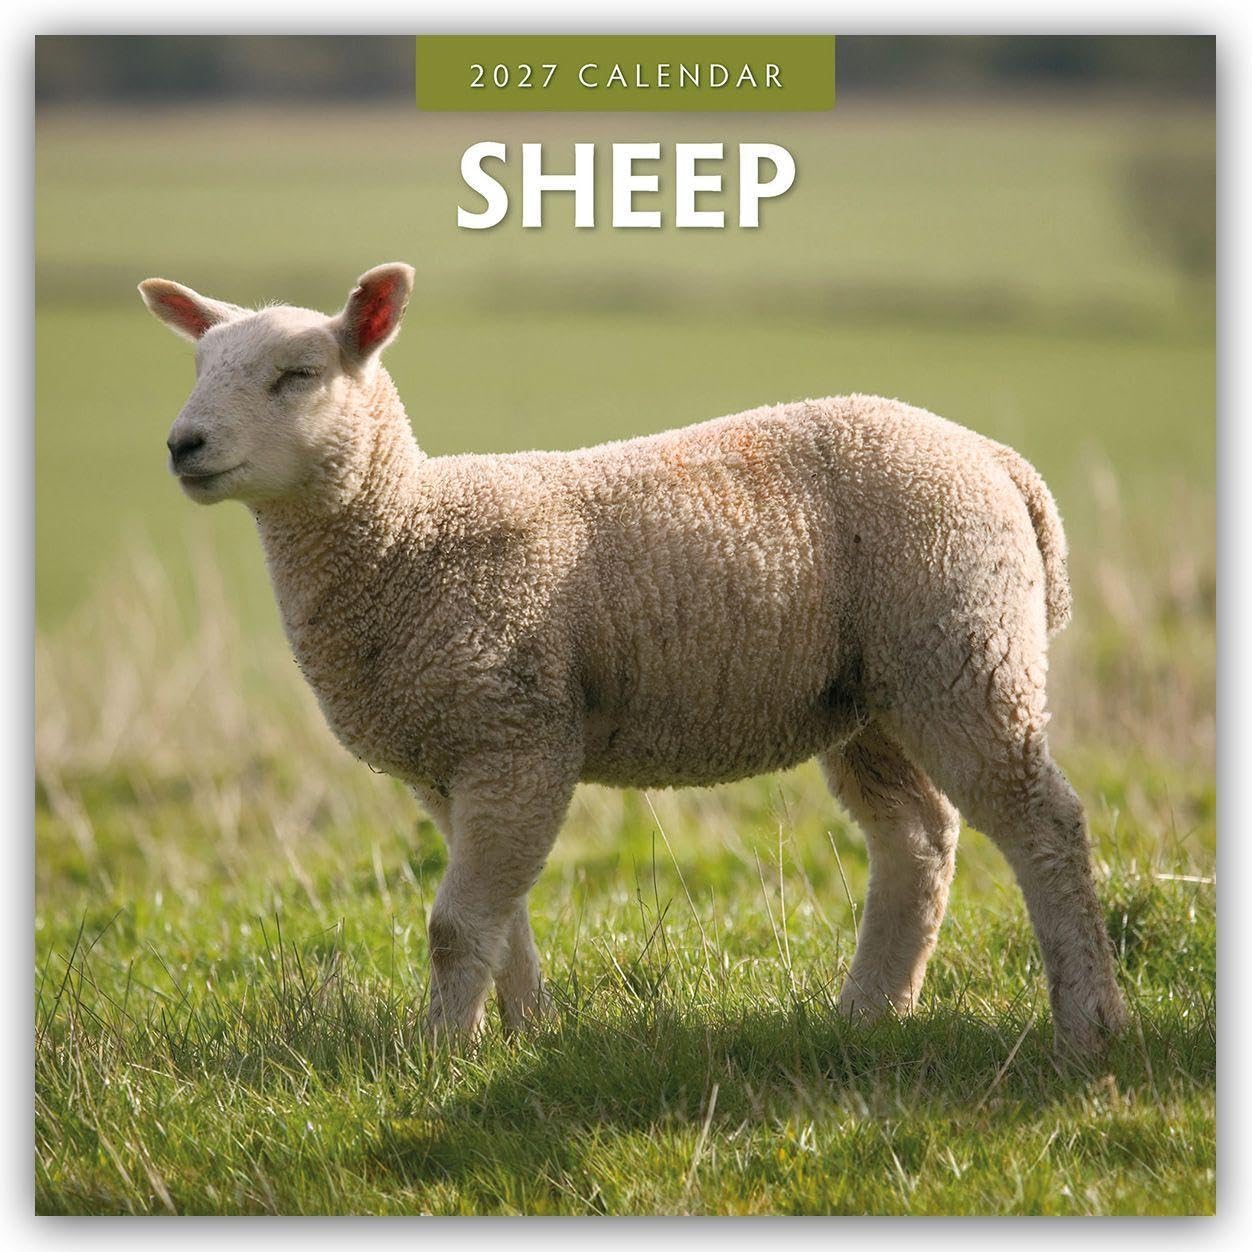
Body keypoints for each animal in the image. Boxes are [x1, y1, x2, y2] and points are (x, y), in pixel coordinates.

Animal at [138, 262, 1128, 1056]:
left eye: (297, 375)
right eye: (197, 369)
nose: (182, 445)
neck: (407, 534)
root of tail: (996, 460)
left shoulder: (515, 736)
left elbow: (455, 925)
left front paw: (437, 1052)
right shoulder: (450, 760)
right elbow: (502, 917)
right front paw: (521, 1032)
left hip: (962, 650)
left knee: (1044, 824)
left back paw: (1088, 1023)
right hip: (871, 694)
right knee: (917, 839)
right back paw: (870, 1012)